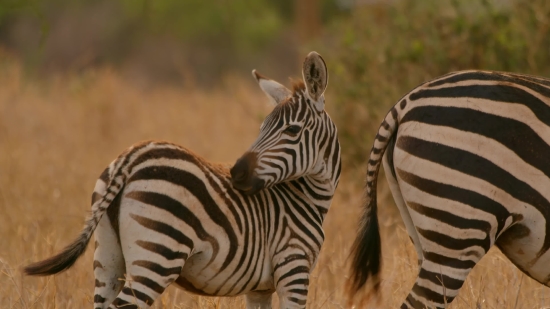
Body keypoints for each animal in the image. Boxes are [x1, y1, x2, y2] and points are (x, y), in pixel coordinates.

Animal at [27, 51, 344, 308]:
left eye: (292, 130)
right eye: (262, 127)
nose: (236, 173)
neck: (305, 197)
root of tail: (132, 157)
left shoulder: (260, 288)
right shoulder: (293, 268)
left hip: (107, 256)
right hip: (157, 255)